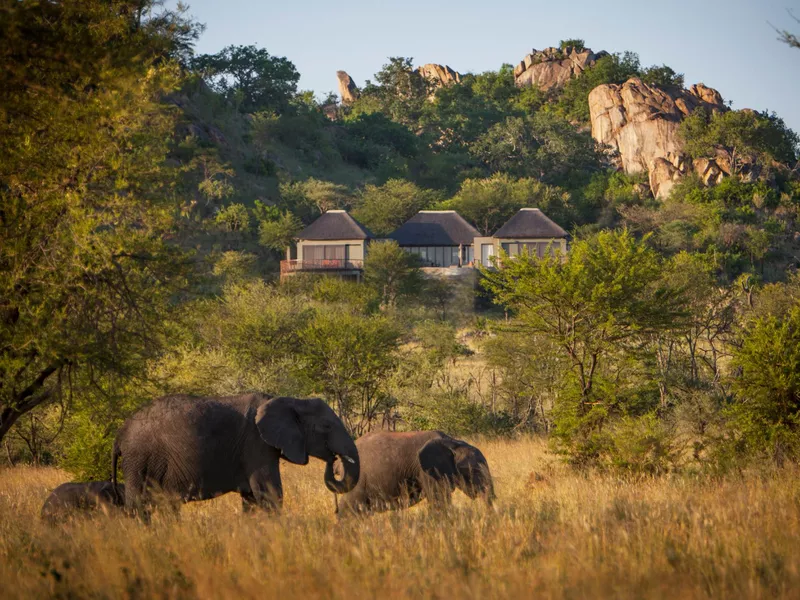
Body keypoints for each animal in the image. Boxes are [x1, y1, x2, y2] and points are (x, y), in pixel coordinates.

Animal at [112, 394, 360, 516]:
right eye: (326, 427)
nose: (333, 459)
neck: (292, 401)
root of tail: (120, 433)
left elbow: (252, 498)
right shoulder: (256, 444)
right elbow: (270, 494)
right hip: (139, 459)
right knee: (138, 505)